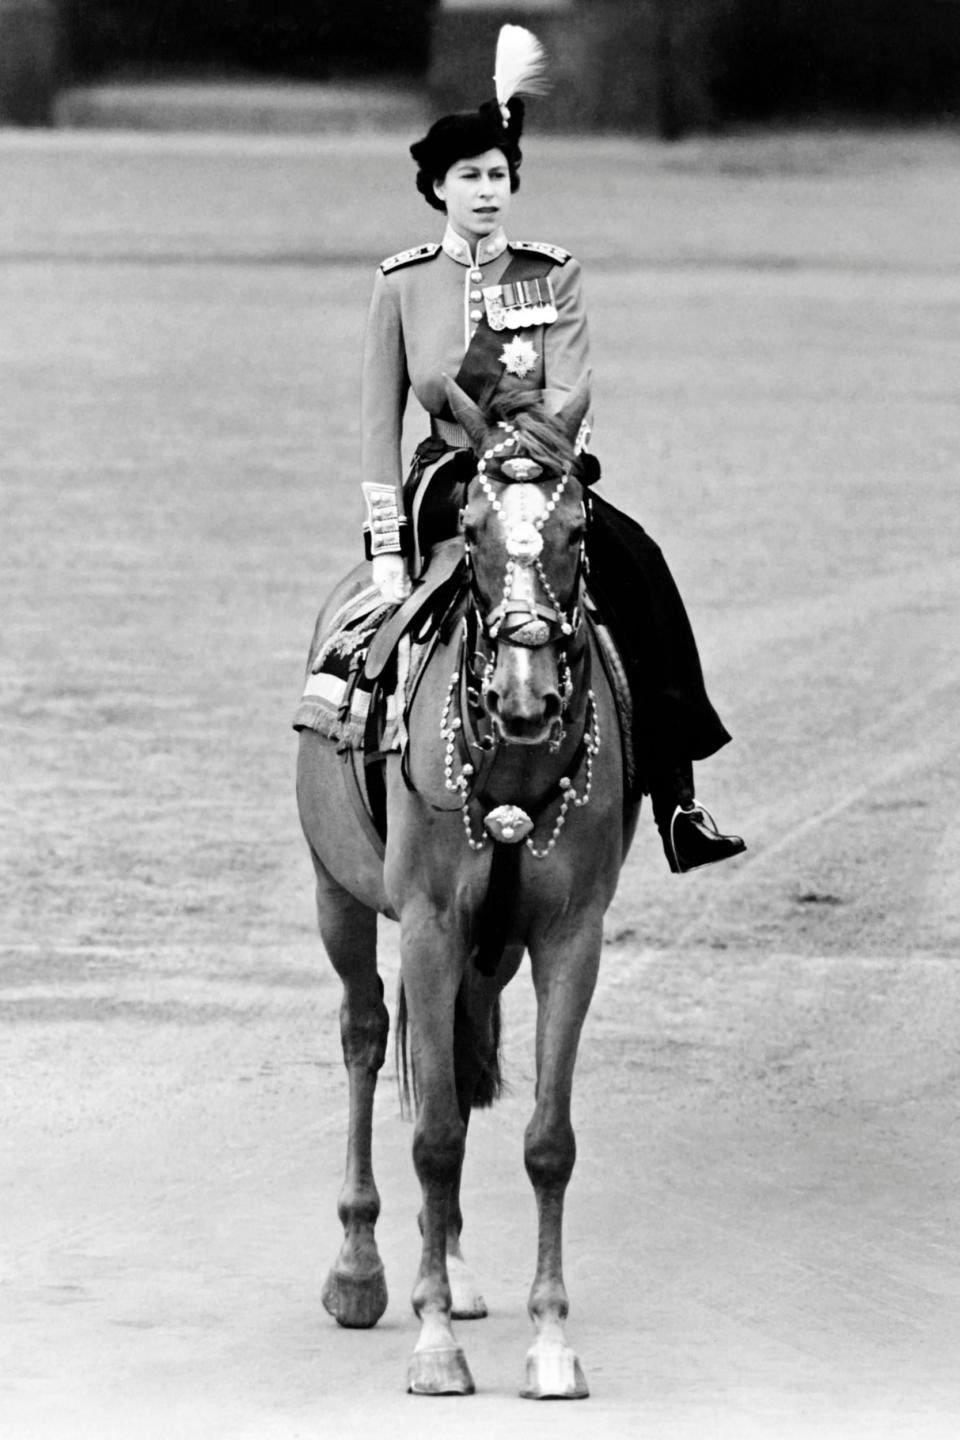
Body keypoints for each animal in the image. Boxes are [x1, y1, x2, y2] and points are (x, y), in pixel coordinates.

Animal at [293, 371, 639, 1393]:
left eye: (577, 530)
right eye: (476, 530)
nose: (526, 697)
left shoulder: (570, 937)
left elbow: (546, 1141)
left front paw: (551, 1340)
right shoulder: (428, 925)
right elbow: (436, 1135)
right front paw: (434, 1340)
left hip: (488, 951)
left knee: (454, 1043)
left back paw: (445, 1260)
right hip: (339, 897)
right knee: (366, 1035)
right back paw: (361, 1270)